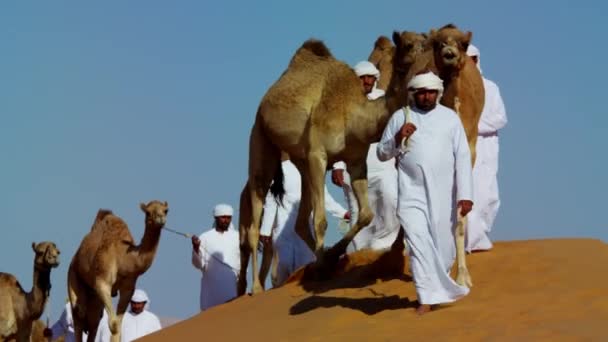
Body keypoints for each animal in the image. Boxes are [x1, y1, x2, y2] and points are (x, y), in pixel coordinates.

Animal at [68, 200, 169, 342]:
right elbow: (113, 324)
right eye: (148, 212)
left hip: (94, 297)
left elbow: (118, 326)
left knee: (94, 321)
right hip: (73, 275)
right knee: (79, 314)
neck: (124, 257)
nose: (161, 218)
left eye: (166, 210)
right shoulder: (102, 282)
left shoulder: (128, 288)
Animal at [236, 38, 408, 296]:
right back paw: (256, 287)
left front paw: (331, 257)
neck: (354, 113)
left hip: (301, 163)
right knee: (256, 216)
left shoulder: (356, 161)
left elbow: (366, 214)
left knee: (299, 221)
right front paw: (323, 268)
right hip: (261, 138)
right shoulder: (318, 155)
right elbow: (321, 220)